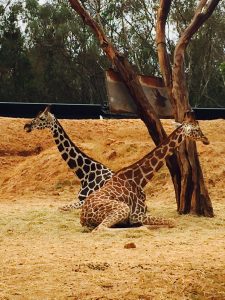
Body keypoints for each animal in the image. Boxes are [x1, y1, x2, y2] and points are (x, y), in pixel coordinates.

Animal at [81, 112, 209, 232]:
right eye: (196, 129)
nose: (206, 139)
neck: (140, 180)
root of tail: (83, 217)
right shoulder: (136, 215)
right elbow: (172, 221)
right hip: (122, 208)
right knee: (100, 228)